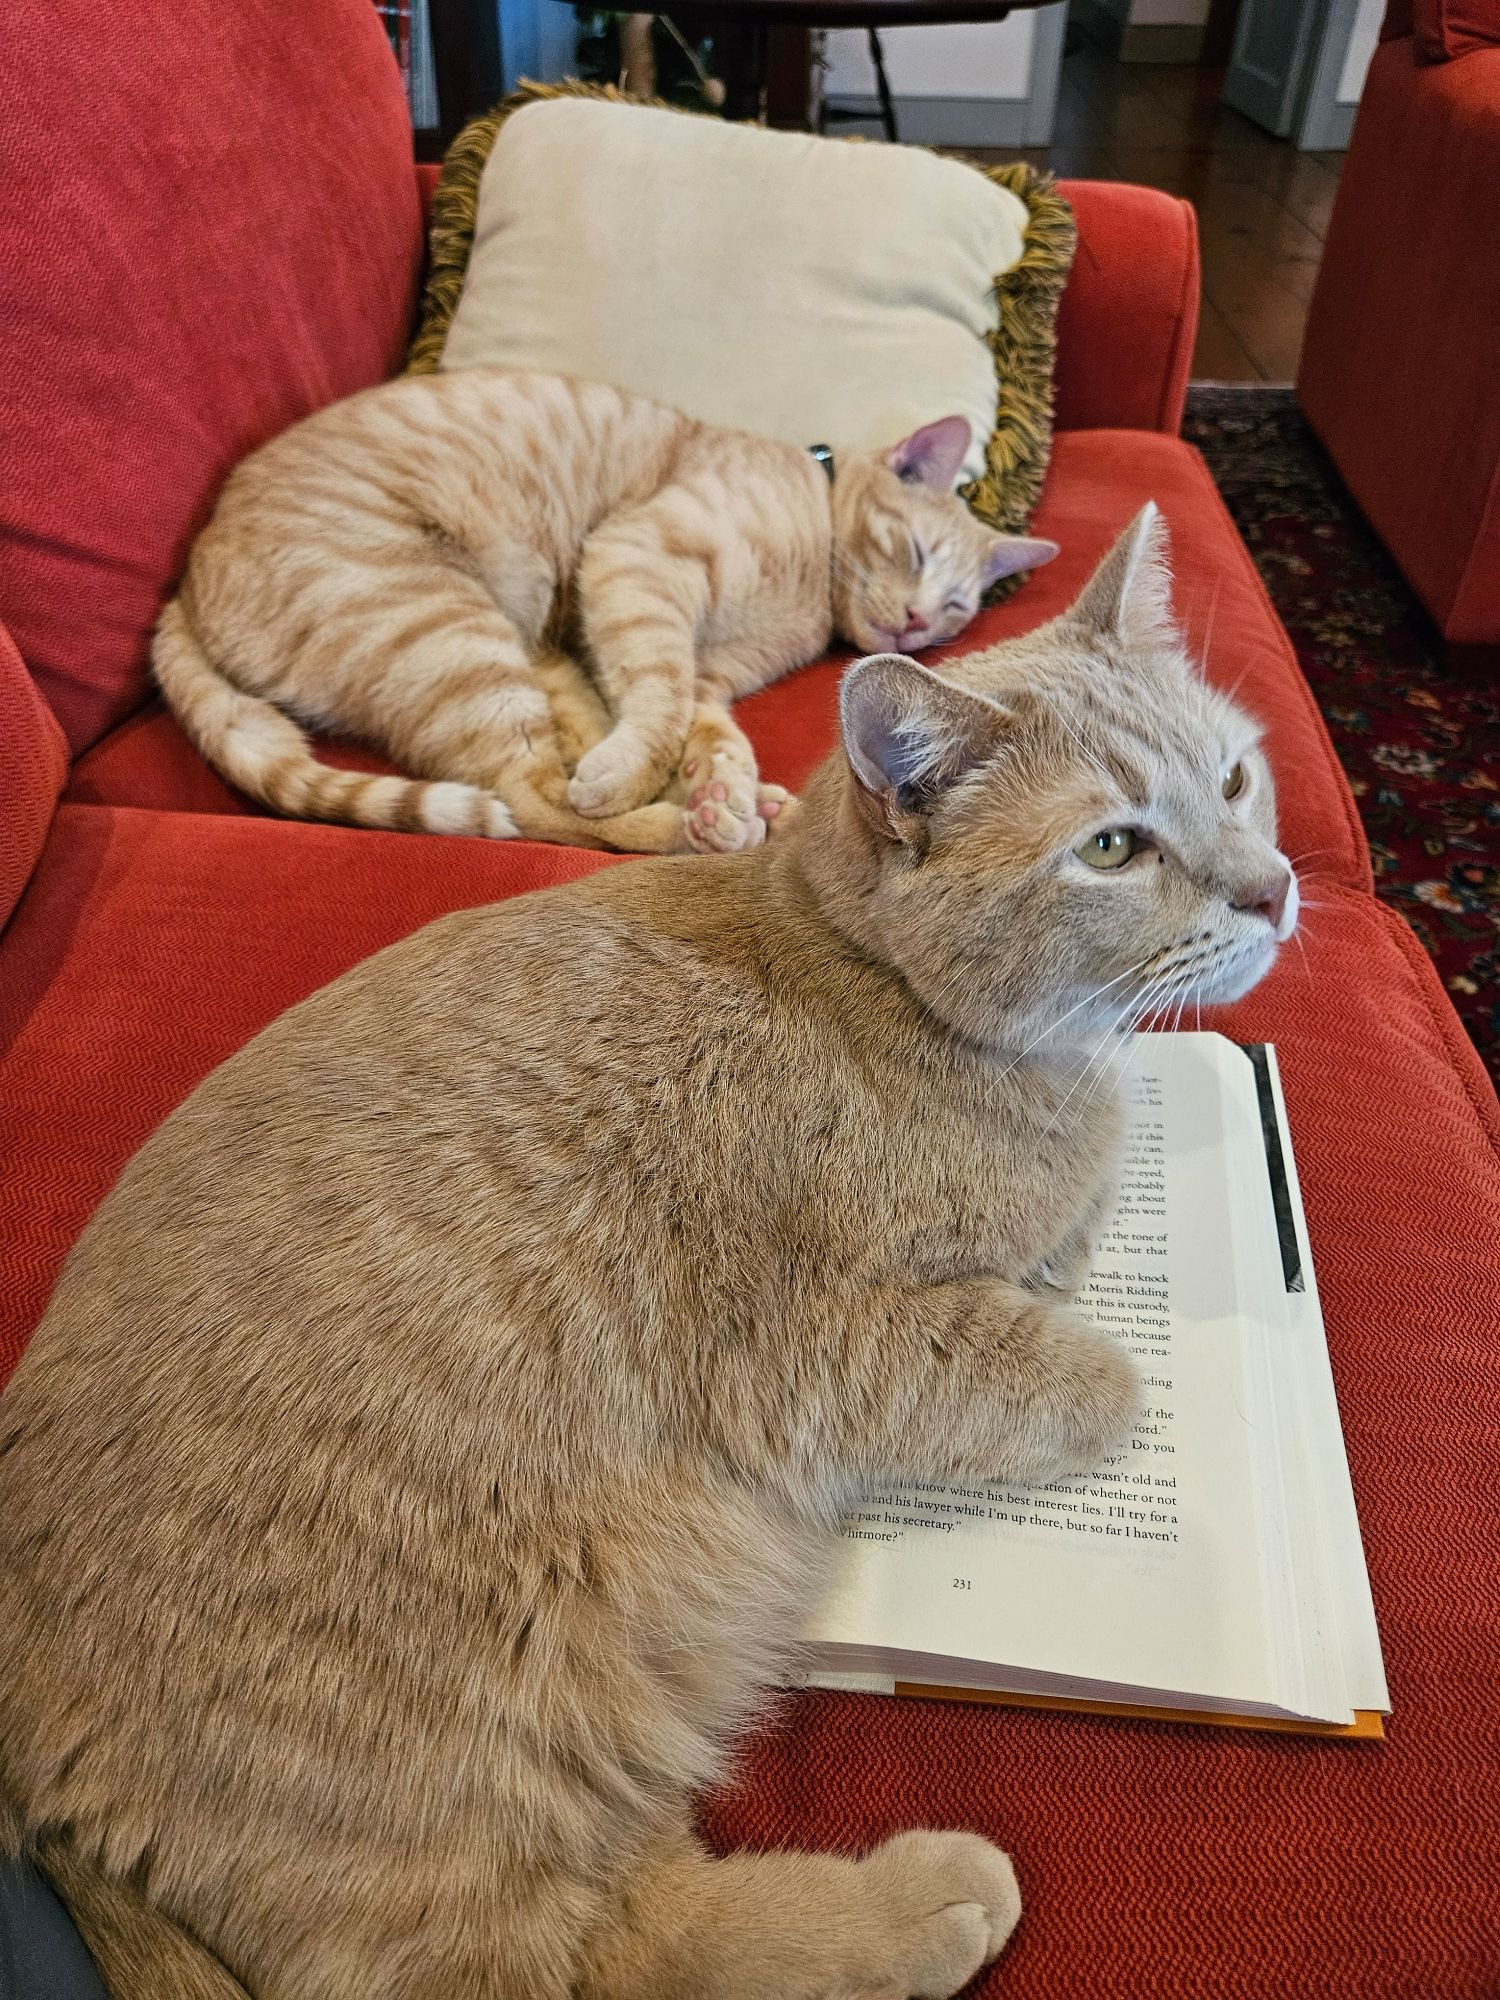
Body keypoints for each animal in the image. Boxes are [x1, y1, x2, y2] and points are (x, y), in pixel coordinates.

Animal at [0, 508, 1304, 1992]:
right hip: (470, 1746)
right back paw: (924, 1901)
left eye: (1238, 779)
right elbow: (1086, 1369)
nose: (1273, 888)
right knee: (589, 1953)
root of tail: (36, 1781)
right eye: (1114, 847)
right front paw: (1101, 1358)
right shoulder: (823, 1349)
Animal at [153, 368, 1056, 852]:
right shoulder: (641, 560)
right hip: (450, 634)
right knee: (536, 805)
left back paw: (732, 812)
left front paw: (723, 785)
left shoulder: (706, 675)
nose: (916, 622)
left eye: (956, 608)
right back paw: (694, 830)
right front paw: (687, 789)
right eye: (915, 554)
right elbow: (659, 704)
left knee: (565, 762)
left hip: (519, 657)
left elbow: (708, 730)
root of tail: (184, 587)